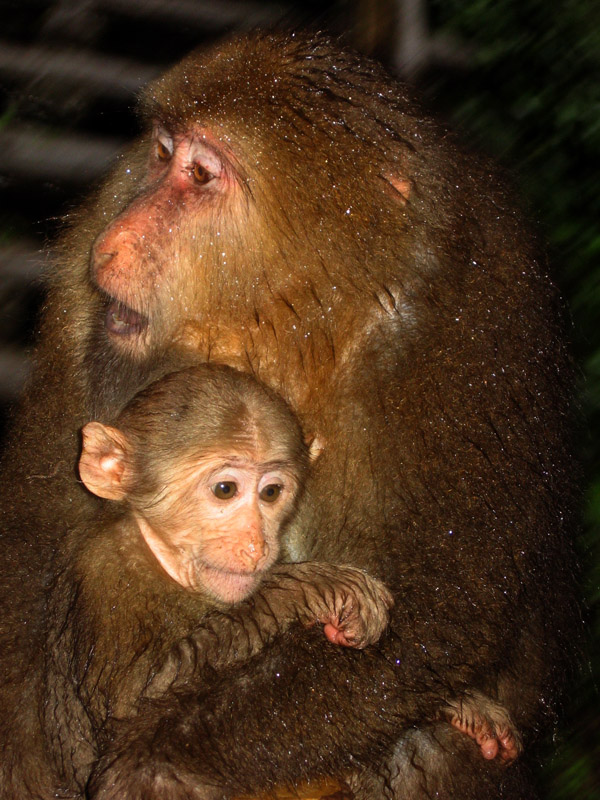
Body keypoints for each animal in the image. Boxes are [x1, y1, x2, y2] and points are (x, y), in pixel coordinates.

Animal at [0, 29, 580, 800]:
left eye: (202, 175)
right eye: (162, 153)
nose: (114, 240)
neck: (294, 323)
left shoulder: (479, 313)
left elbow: (443, 603)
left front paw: (165, 754)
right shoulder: (81, 295)